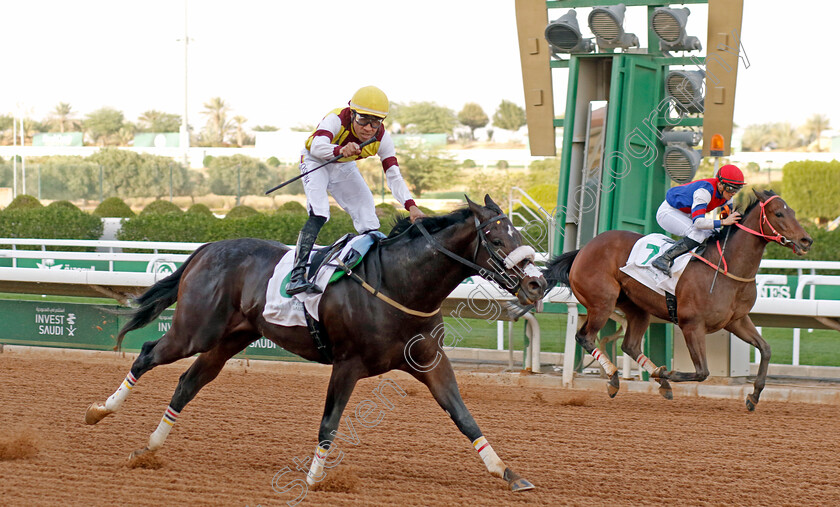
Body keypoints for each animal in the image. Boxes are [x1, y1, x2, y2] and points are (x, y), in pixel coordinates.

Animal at [83, 196, 544, 494]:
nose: (537, 283)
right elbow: (330, 422)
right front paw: (314, 478)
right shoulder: (347, 364)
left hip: (229, 338)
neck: (398, 283)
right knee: (147, 354)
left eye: (518, 231)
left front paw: (507, 472)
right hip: (194, 330)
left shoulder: (431, 361)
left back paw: (150, 447)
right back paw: (100, 410)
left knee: (188, 382)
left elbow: (464, 416)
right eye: (497, 239)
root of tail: (207, 248)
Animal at [540, 189, 812, 410]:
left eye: (793, 212)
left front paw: (754, 396)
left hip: (636, 307)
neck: (726, 267)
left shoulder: (736, 320)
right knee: (585, 336)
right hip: (602, 302)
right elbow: (702, 372)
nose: (806, 240)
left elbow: (765, 349)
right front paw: (667, 373)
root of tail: (583, 250)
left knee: (630, 345)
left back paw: (654, 379)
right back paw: (617, 377)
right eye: (779, 213)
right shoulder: (692, 325)